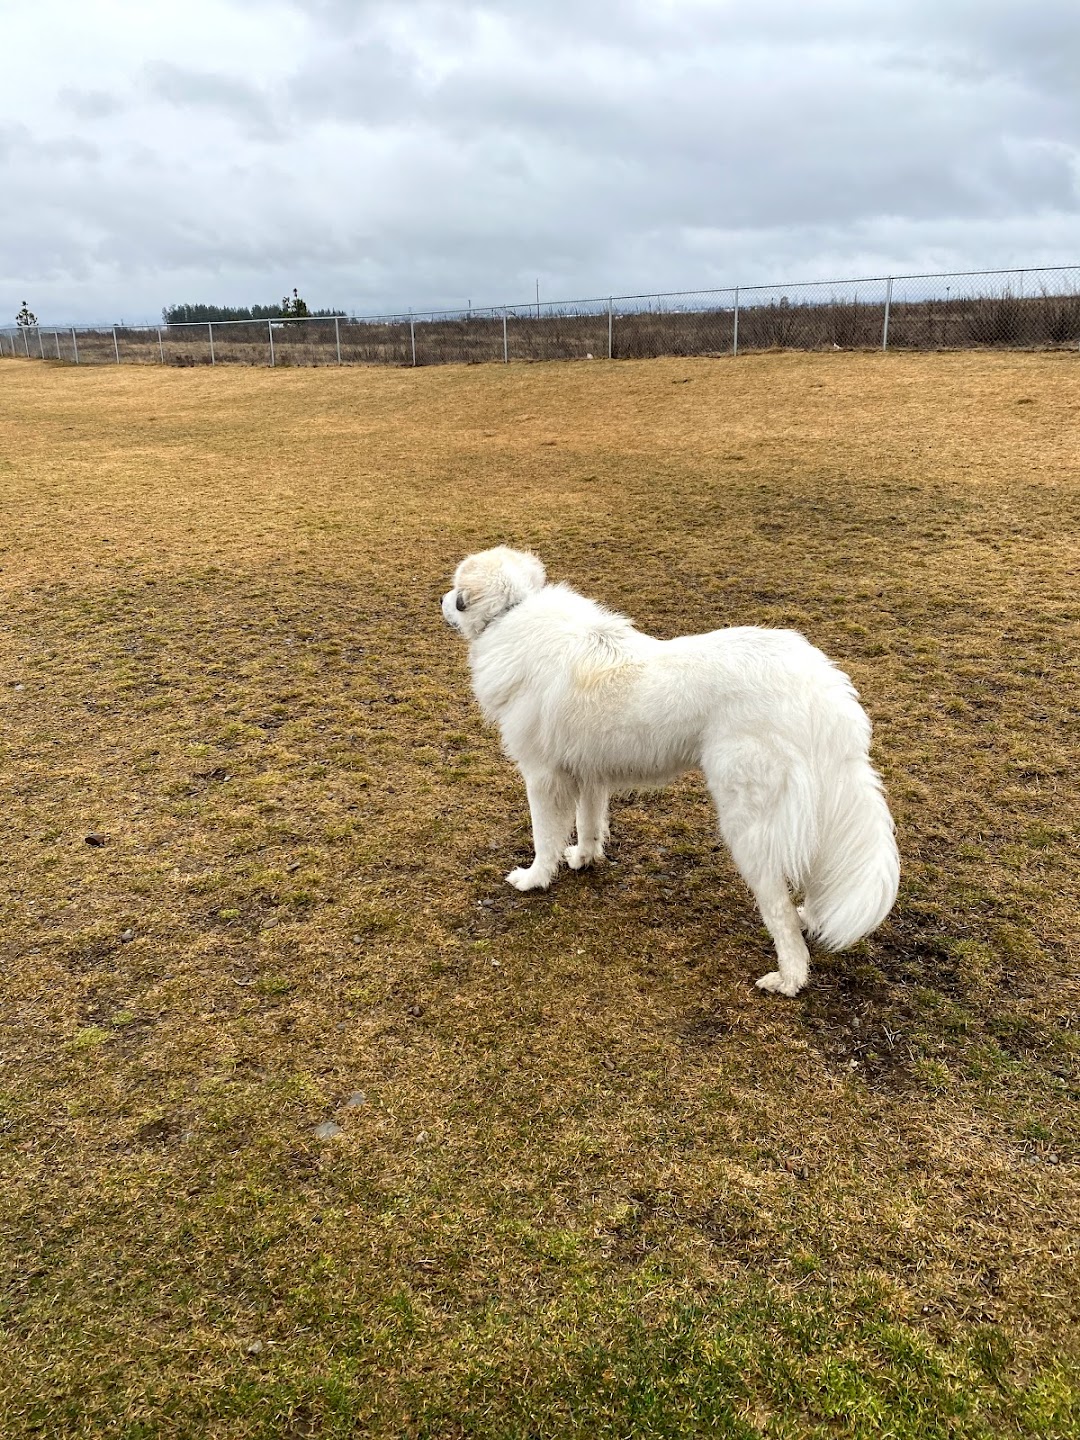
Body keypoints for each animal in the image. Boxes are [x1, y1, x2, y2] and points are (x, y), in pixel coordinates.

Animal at [443, 544, 898, 996]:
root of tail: (820, 685)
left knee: (778, 910)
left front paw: (534, 879)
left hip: (748, 824)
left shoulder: (543, 777)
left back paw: (789, 978)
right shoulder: (589, 772)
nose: (440, 601)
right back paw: (810, 920)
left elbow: (544, 838)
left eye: (454, 589)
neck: (514, 611)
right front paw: (584, 859)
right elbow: (588, 824)